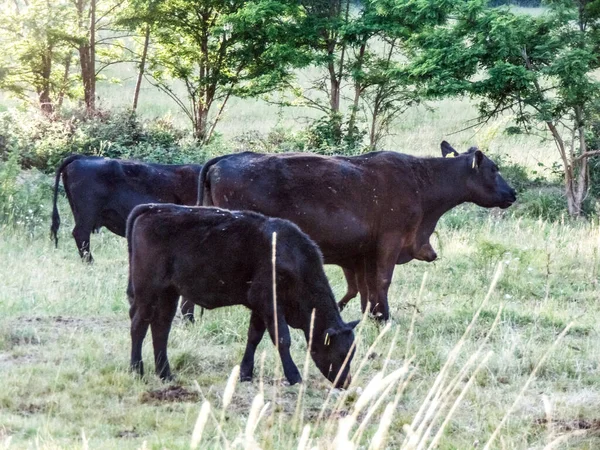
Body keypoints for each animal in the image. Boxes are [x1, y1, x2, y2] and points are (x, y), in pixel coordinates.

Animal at [126, 204, 358, 386]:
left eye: (352, 353)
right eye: (340, 353)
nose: (345, 382)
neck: (292, 257)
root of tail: (152, 208)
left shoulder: (259, 307)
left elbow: (254, 336)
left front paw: (245, 373)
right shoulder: (269, 301)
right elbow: (282, 338)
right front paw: (294, 377)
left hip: (169, 293)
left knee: (160, 328)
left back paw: (165, 373)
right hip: (148, 291)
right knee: (139, 324)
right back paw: (137, 370)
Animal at [197, 142, 516, 322]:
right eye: (494, 168)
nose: (512, 193)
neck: (420, 181)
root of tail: (223, 160)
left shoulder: (363, 252)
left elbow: (366, 287)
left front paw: (371, 314)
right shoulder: (389, 242)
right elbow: (382, 281)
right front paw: (384, 317)